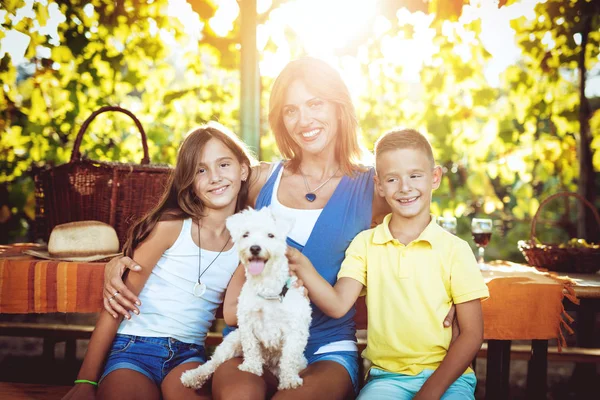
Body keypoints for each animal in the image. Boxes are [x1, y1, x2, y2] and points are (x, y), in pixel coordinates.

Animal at [179, 206, 312, 390]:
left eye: (270, 235)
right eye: (246, 234)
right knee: (213, 363)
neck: (266, 288)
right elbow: (251, 348)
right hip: (232, 341)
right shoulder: (247, 324)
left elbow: (289, 357)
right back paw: (193, 376)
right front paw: (251, 367)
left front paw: (290, 380)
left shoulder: (295, 329)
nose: (255, 248)